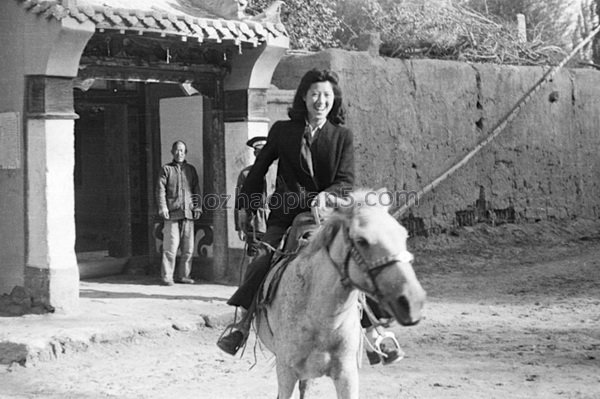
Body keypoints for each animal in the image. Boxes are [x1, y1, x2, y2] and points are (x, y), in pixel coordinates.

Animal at [254, 191, 426, 399]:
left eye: (403, 234)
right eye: (362, 240)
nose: (413, 301)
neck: (319, 318)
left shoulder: (347, 374)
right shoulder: (286, 372)